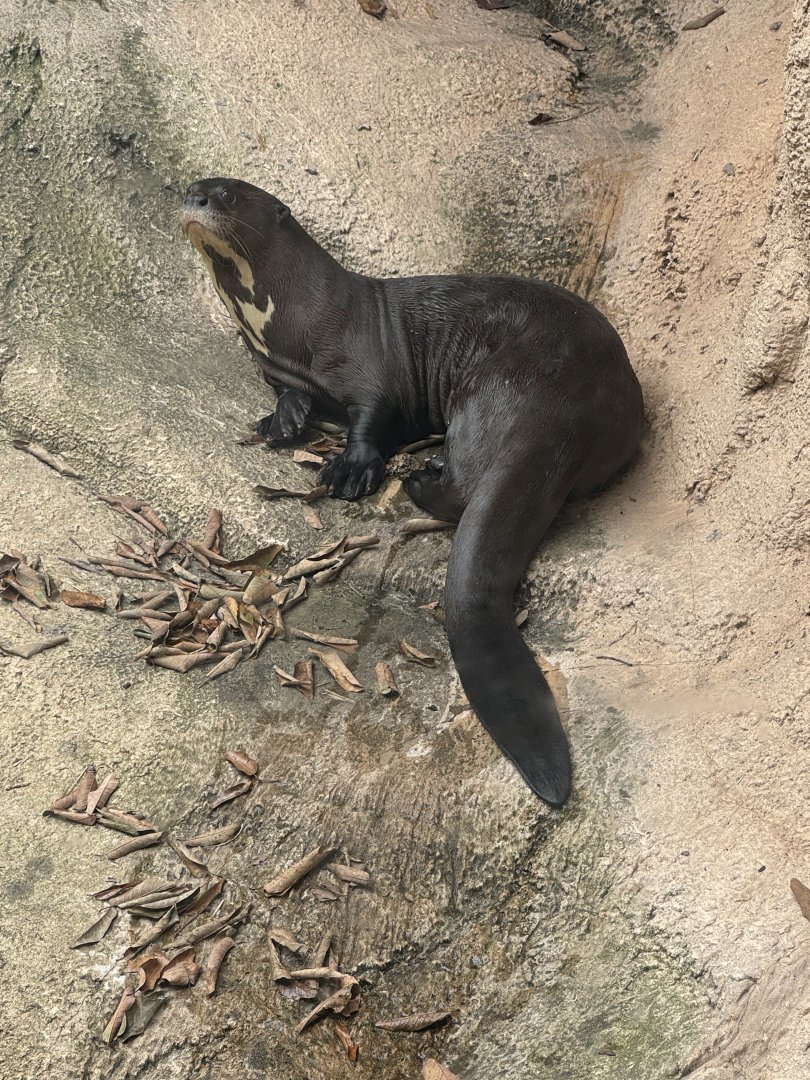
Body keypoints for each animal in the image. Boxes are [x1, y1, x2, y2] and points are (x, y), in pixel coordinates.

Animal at [181, 178, 644, 806]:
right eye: (193, 188)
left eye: (227, 195)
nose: (193, 198)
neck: (290, 325)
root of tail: (561, 410)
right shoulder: (280, 371)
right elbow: (288, 396)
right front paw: (281, 422)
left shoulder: (367, 369)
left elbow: (371, 415)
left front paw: (349, 471)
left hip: (481, 388)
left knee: (465, 485)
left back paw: (421, 474)